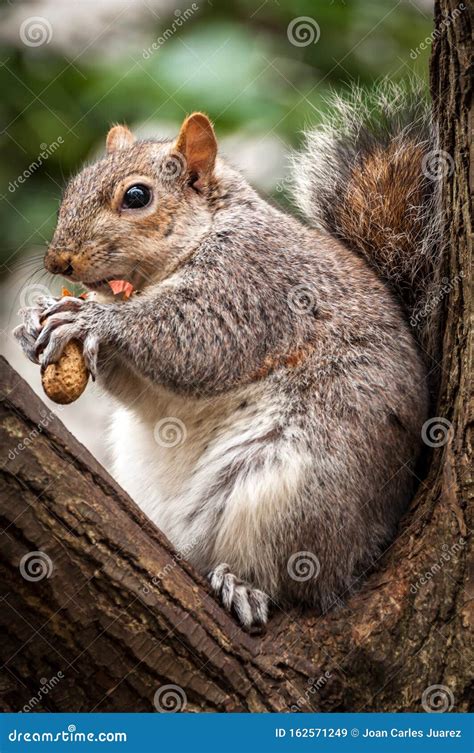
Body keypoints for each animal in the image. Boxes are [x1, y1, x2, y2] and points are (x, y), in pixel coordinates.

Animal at [15, 81, 444, 628]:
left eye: (137, 196)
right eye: (72, 189)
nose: (58, 262)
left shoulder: (254, 285)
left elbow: (195, 341)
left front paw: (93, 320)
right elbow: (142, 390)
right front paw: (34, 321)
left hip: (295, 491)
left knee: (296, 576)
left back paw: (243, 585)